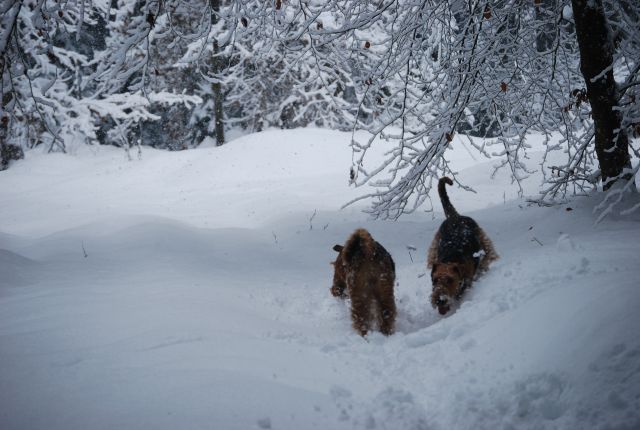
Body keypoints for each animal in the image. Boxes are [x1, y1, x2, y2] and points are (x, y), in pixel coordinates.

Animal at [428, 178, 498, 316]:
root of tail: (455, 216)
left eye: (450, 280)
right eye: (434, 280)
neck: (451, 258)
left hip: (484, 243)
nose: (439, 300)